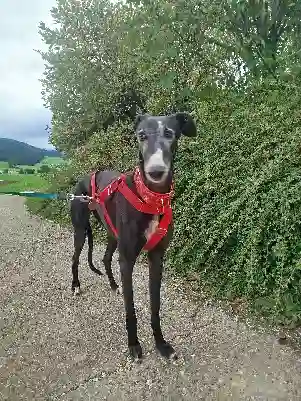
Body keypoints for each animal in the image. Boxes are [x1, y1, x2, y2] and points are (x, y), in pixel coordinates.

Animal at [70, 111, 197, 360]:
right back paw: (76, 285)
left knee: (105, 258)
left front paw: (161, 344)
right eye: (141, 135)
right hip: (80, 231)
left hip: (112, 234)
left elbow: (155, 306)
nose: (155, 171)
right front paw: (133, 345)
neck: (151, 198)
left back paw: (113, 285)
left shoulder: (156, 257)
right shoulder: (128, 260)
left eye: (170, 133)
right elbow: (130, 309)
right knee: (75, 258)